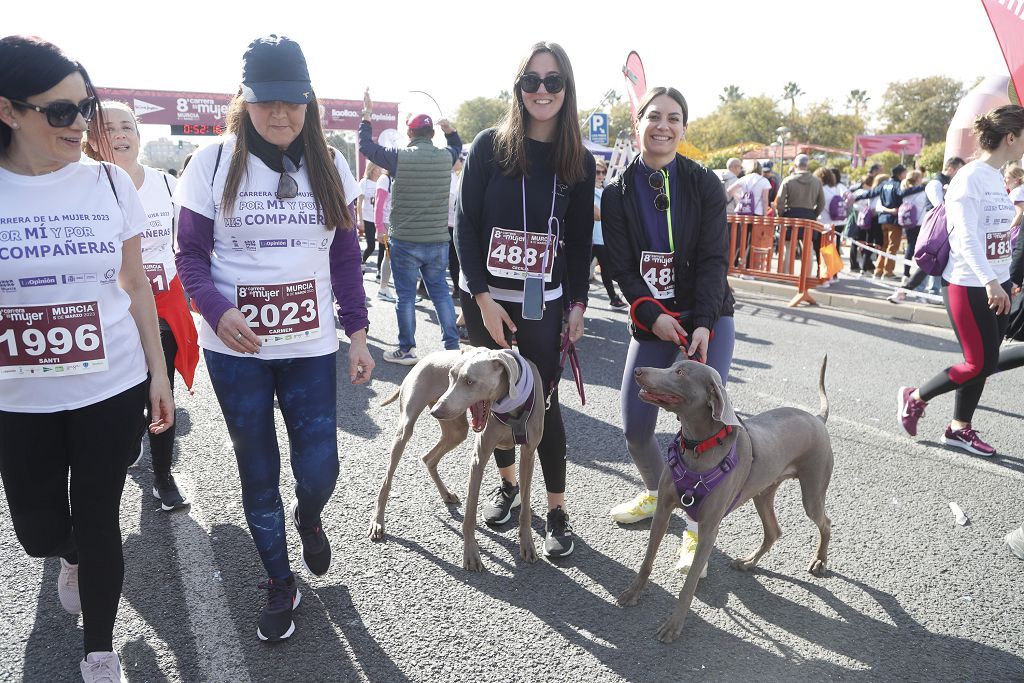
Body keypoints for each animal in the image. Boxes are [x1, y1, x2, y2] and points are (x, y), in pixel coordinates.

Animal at [368, 348, 544, 573]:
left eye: (469, 381)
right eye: (450, 376)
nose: (435, 412)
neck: (511, 404)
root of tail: (425, 359)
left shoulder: (529, 455)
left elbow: (526, 507)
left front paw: (527, 544)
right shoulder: (479, 459)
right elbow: (469, 515)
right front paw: (471, 555)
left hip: (456, 429)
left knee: (428, 458)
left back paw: (446, 494)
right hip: (408, 428)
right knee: (387, 480)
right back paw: (378, 521)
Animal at [614, 356, 831, 643]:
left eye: (680, 372)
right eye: (672, 365)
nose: (638, 371)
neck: (699, 446)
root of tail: (817, 418)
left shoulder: (709, 530)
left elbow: (689, 583)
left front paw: (674, 626)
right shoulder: (663, 511)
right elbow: (647, 561)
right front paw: (633, 593)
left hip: (812, 491)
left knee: (825, 523)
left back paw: (819, 562)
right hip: (763, 493)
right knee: (774, 531)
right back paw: (748, 562)